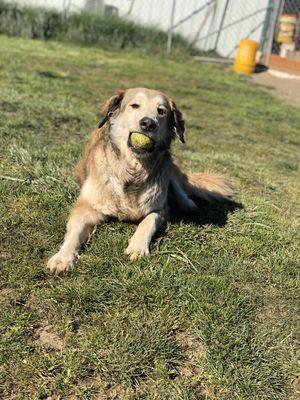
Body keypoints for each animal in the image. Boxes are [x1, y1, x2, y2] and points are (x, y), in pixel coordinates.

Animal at [47, 88, 234, 276]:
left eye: (161, 111)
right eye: (135, 105)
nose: (148, 124)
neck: (134, 169)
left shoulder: (159, 209)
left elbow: (147, 223)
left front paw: (137, 247)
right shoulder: (86, 207)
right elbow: (75, 233)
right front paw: (62, 257)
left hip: (169, 163)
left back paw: (187, 203)